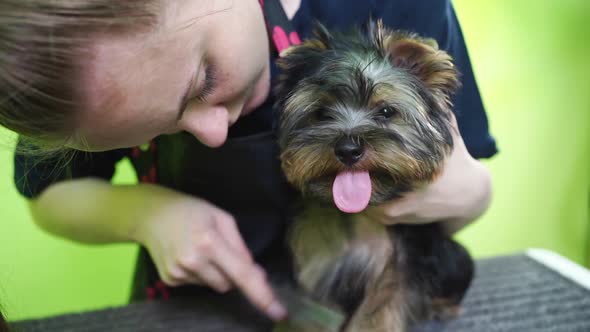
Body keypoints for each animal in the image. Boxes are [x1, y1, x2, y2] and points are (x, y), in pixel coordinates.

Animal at [276, 20, 476, 330]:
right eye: (321, 113)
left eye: (385, 111)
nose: (348, 149)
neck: (360, 212)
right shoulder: (320, 259)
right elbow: (315, 310)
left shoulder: (403, 260)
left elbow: (380, 307)